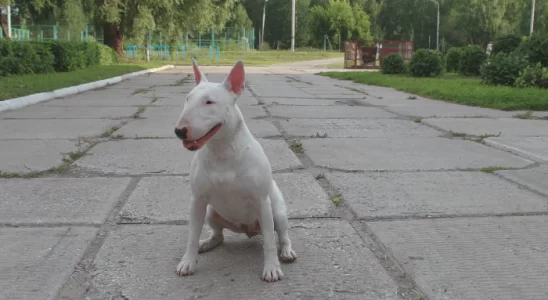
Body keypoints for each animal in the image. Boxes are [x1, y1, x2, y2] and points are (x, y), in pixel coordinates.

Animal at [173, 58, 298, 282]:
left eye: (209, 102)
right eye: (187, 98)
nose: (179, 131)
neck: (222, 151)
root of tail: (247, 230)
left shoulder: (261, 202)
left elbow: (269, 242)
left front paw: (271, 268)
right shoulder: (197, 201)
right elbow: (192, 235)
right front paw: (187, 262)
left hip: (276, 212)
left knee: (282, 234)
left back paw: (286, 252)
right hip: (211, 213)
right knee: (219, 235)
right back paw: (207, 243)